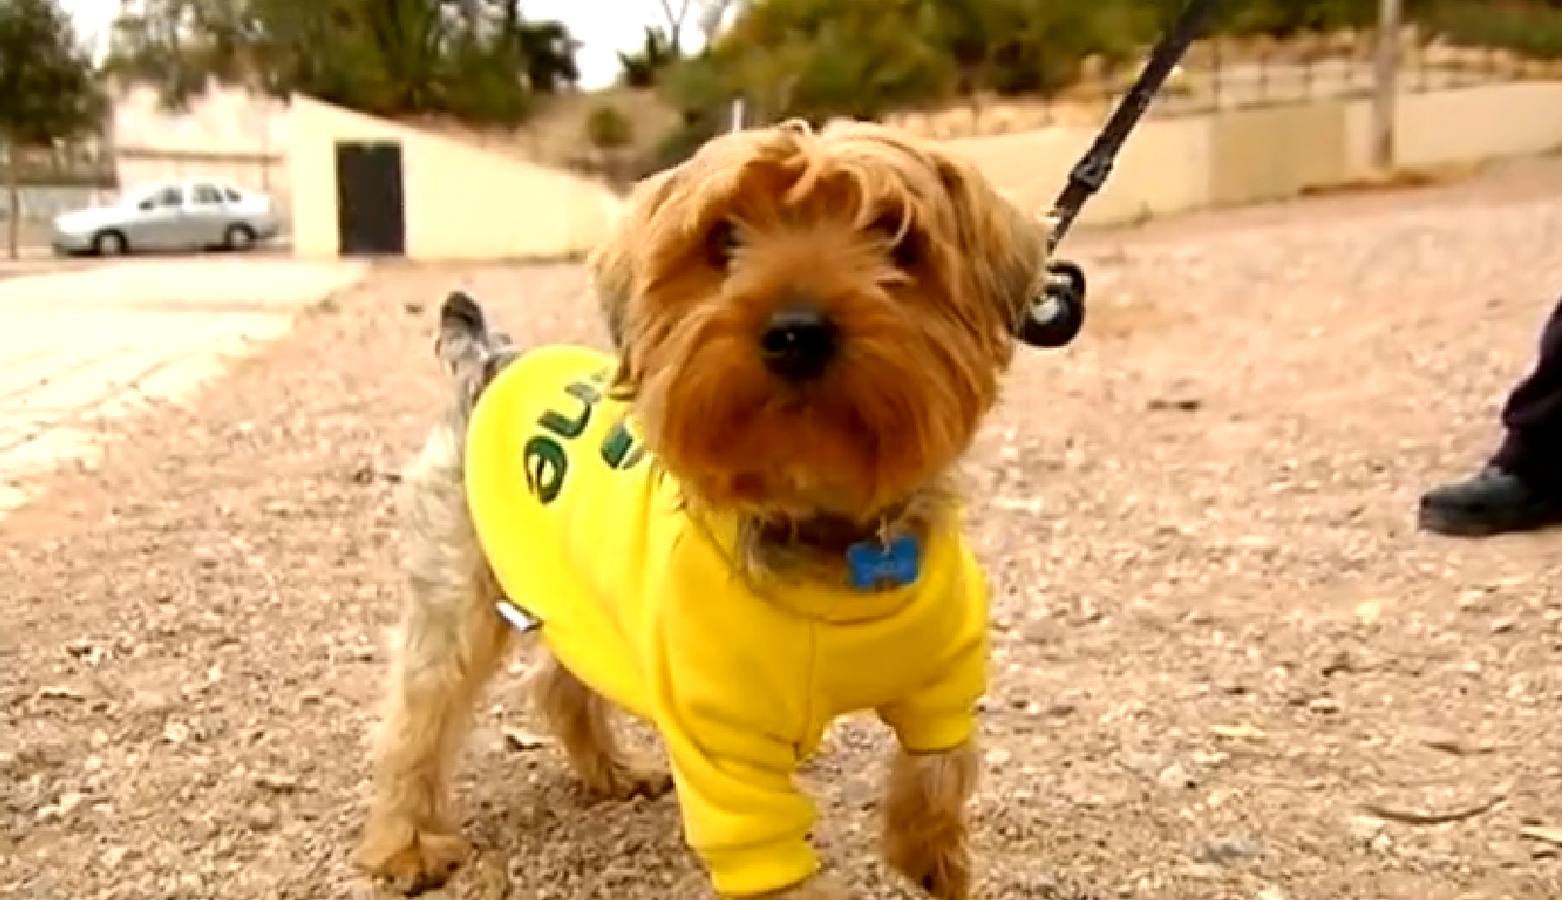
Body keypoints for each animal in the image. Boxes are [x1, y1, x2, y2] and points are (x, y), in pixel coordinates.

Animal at [357, 121, 1049, 900]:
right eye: (723, 238)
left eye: (895, 237)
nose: (797, 330)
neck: (825, 525)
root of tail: (490, 359)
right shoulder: (725, 748)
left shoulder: (944, 679)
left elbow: (938, 769)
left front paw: (932, 860)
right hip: (458, 585)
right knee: (418, 712)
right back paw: (406, 844)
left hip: (579, 594)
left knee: (560, 679)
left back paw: (611, 770)